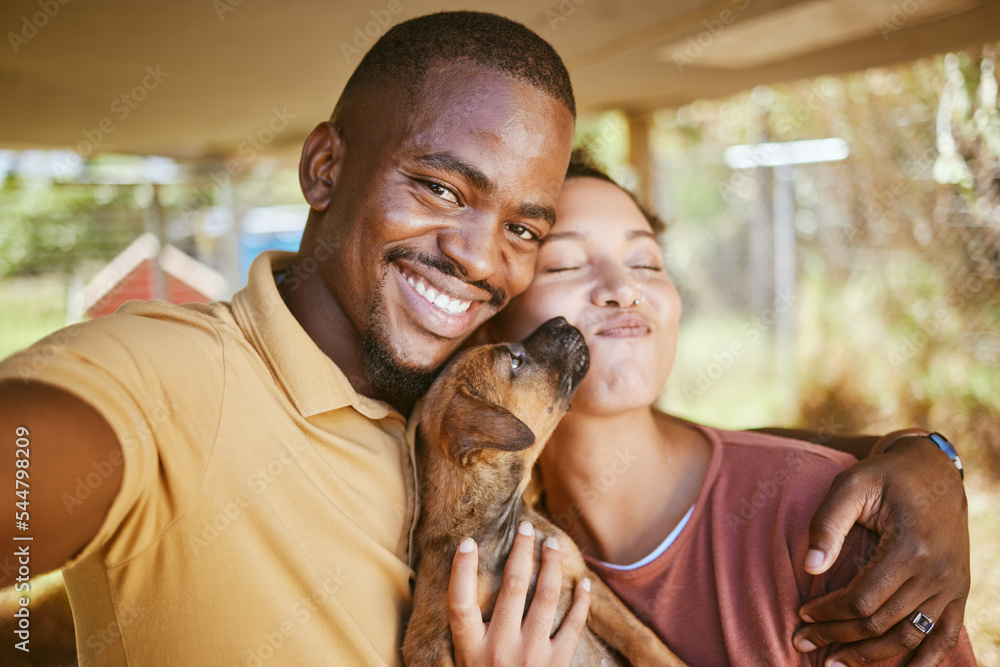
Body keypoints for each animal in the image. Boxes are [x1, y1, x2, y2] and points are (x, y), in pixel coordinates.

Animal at [402, 318, 684, 667]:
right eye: (515, 362)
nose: (560, 321)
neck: (498, 534)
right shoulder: (425, 640)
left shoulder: (584, 578)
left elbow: (645, 642)